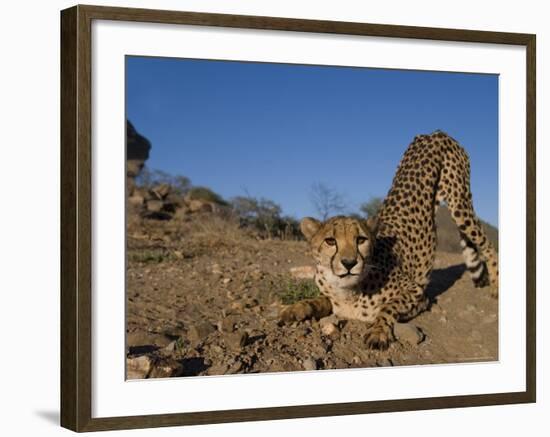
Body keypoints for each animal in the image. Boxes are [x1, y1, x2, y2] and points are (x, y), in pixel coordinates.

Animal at [280, 131, 500, 350]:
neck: (347, 291)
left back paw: (496, 288)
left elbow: (387, 307)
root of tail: (435, 132)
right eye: (330, 241)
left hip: (459, 202)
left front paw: (378, 331)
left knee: (488, 246)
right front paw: (295, 308)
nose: (349, 263)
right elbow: (317, 300)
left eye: (361, 240)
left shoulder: (419, 294)